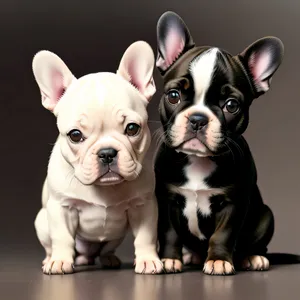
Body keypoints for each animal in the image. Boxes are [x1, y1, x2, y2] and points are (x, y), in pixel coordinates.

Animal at [33, 41, 163, 276]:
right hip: (41, 221)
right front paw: (60, 261)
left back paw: (107, 259)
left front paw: (148, 260)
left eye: (132, 128)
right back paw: (51, 259)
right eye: (75, 135)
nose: (107, 153)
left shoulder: (144, 207)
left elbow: (145, 237)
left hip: (116, 236)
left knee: (104, 250)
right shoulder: (61, 208)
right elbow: (62, 238)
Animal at [155, 11, 284, 274]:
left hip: (266, 216)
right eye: (174, 96)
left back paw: (252, 258)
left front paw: (218, 260)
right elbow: (169, 231)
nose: (198, 119)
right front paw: (169, 259)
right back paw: (191, 256)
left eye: (231, 105)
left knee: (255, 244)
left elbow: (223, 234)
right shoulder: (166, 199)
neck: (197, 161)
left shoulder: (233, 203)